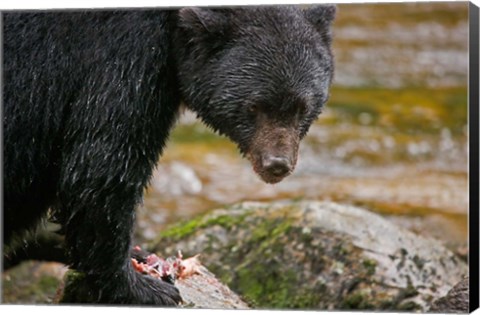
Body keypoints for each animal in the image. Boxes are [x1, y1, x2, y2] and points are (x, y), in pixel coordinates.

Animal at [1, 4, 336, 306]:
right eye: (255, 106)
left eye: (302, 107)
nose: (277, 164)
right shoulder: (125, 58)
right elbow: (101, 169)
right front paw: (140, 286)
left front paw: (139, 256)